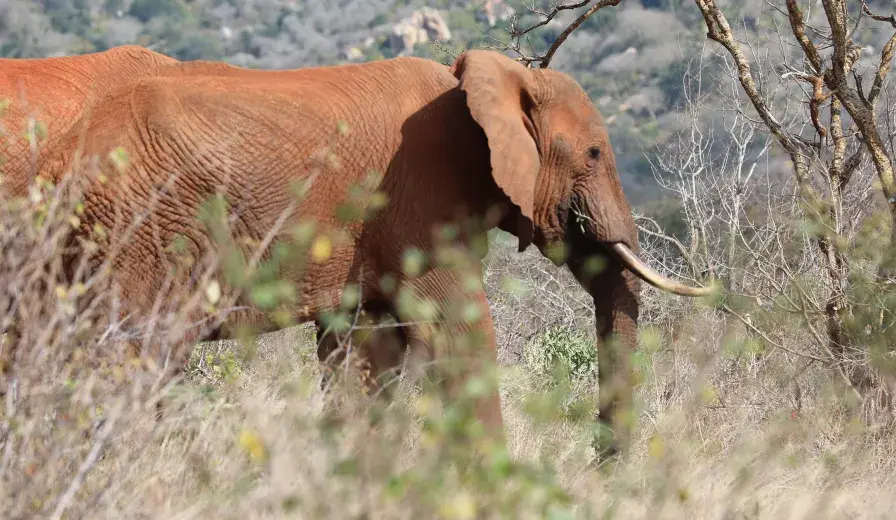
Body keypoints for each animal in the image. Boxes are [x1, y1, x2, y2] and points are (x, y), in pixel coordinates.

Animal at [29, 49, 712, 456]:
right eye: (594, 153)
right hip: (140, 231)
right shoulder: (420, 198)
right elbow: (458, 329)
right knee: (133, 358)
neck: (479, 83)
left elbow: (369, 349)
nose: (604, 464)